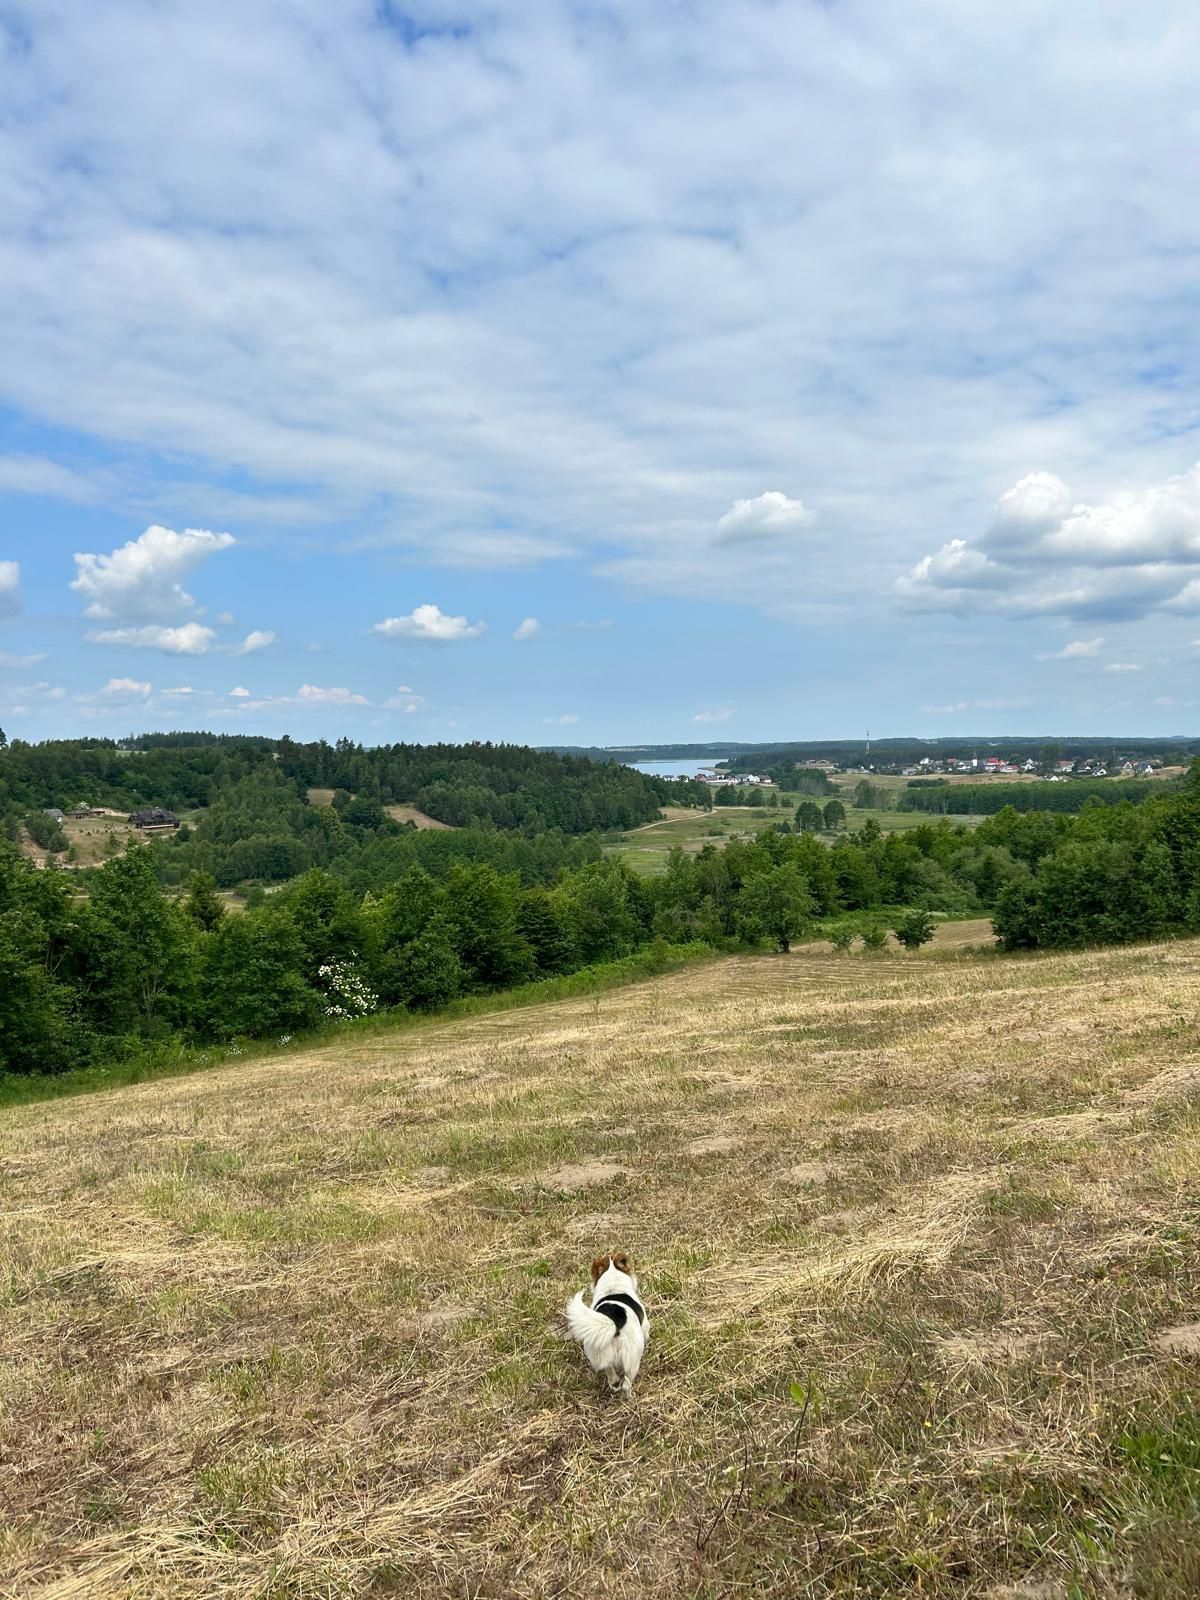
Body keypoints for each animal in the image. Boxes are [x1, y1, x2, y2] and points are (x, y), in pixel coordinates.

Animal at [569, 1248, 652, 1388]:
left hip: (598, 1351)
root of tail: (615, 1322)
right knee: (626, 1384)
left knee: (609, 1370)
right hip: (632, 1360)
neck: (613, 1286)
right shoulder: (645, 1326)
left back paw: (613, 1382)